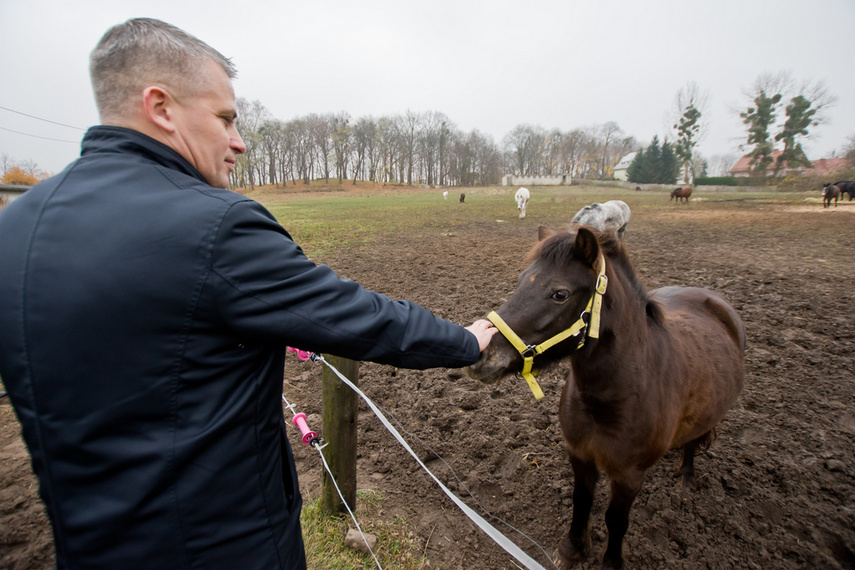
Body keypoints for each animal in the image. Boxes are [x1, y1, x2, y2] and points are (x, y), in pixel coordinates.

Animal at [464, 224, 744, 564]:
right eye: (520, 281)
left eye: (560, 294)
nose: (482, 354)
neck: (611, 398)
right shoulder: (580, 454)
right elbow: (581, 500)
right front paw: (572, 549)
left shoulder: (629, 475)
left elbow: (616, 519)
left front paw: (611, 561)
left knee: (694, 439)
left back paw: (686, 477)